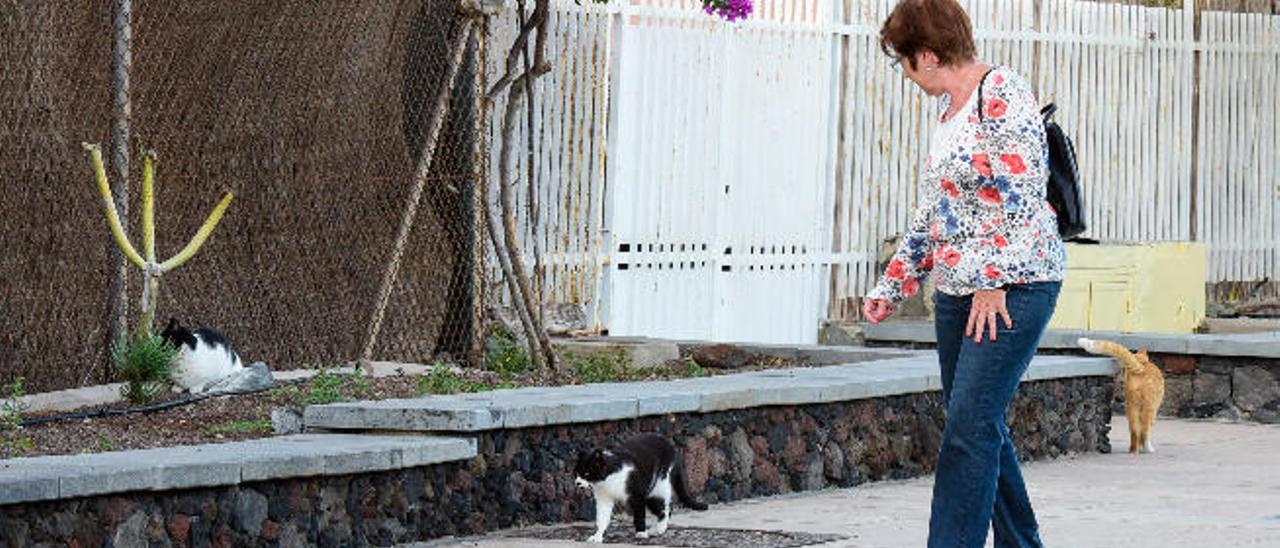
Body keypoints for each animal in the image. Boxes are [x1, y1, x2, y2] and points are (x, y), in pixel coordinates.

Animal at [573, 432, 706, 542]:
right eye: (576, 473)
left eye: (587, 473)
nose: (577, 483)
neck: (607, 480)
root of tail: (671, 446)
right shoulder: (604, 498)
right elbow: (602, 517)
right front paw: (597, 536)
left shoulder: (637, 494)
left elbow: (639, 515)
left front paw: (641, 532)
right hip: (650, 493)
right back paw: (655, 529)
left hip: (659, 486)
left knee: (667, 507)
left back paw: (660, 528)